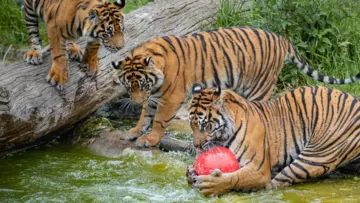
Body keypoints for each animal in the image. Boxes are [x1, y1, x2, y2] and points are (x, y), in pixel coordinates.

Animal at [186, 84, 360, 197]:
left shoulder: (258, 169)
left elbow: (236, 177)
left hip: (314, 157)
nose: (197, 146)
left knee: (272, 184)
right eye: (191, 125)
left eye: (206, 126)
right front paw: (191, 173)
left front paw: (213, 184)